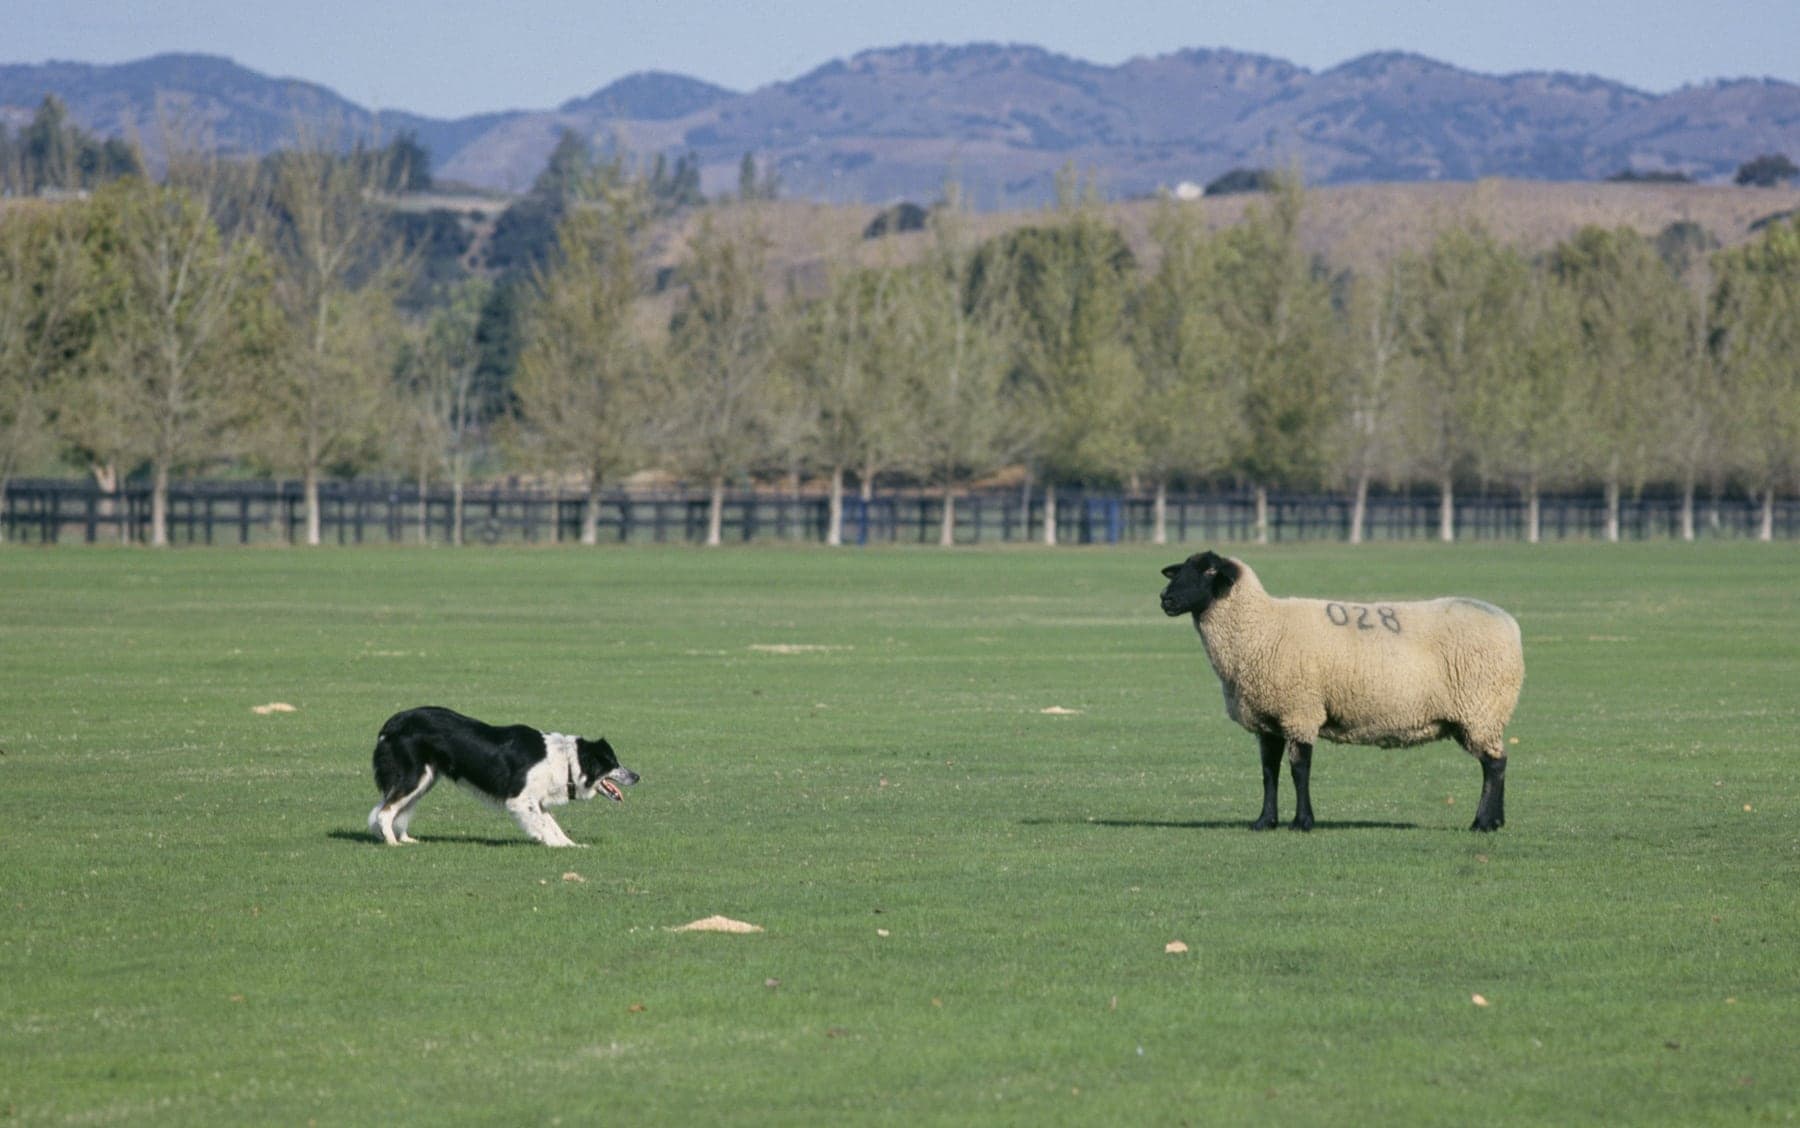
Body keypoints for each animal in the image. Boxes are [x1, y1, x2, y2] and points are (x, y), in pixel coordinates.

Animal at [1158, 550, 1524, 832]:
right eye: (1182, 569)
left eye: (1208, 571)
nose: (1165, 598)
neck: (1259, 628)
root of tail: (1509, 624)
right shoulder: (1269, 719)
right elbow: (1268, 772)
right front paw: (1264, 821)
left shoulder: (1300, 710)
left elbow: (1299, 769)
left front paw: (1302, 822)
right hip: (1479, 715)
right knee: (1498, 761)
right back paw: (1496, 822)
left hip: (1480, 710)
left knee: (1494, 765)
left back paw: (1482, 823)